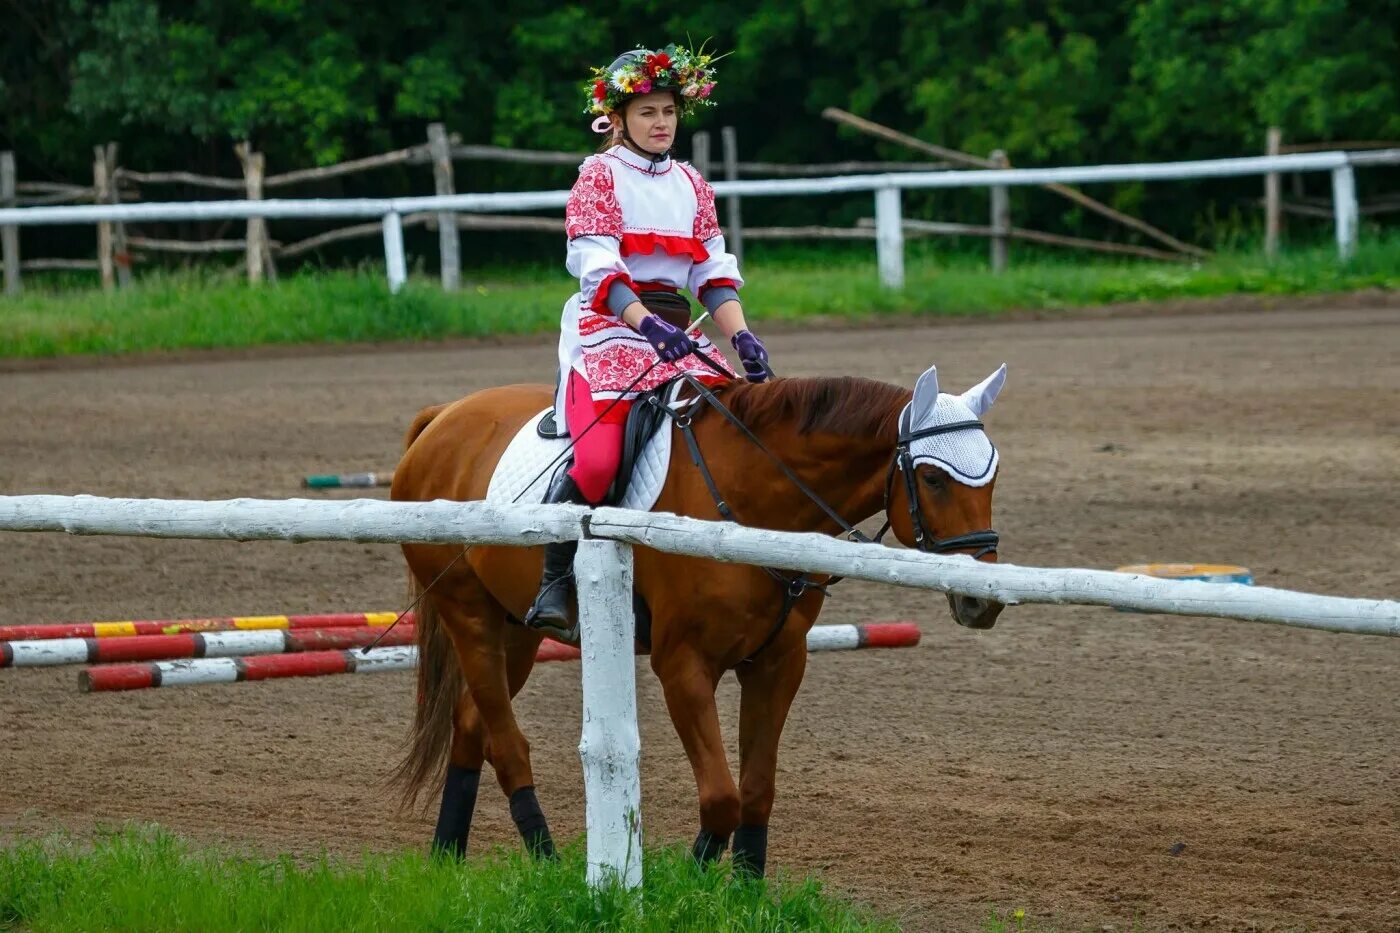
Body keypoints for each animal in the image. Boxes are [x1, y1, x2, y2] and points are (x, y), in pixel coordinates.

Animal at [394, 361, 1008, 874]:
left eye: (993, 477)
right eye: (933, 479)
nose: (985, 600)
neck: (751, 495)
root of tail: (443, 417)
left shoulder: (778, 662)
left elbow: (756, 793)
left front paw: (746, 891)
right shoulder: (683, 666)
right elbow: (721, 799)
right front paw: (694, 882)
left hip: (517, 632)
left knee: (471, 725)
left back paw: (446, 858)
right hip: (469, 615)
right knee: (505, 742)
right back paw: (545, 860)